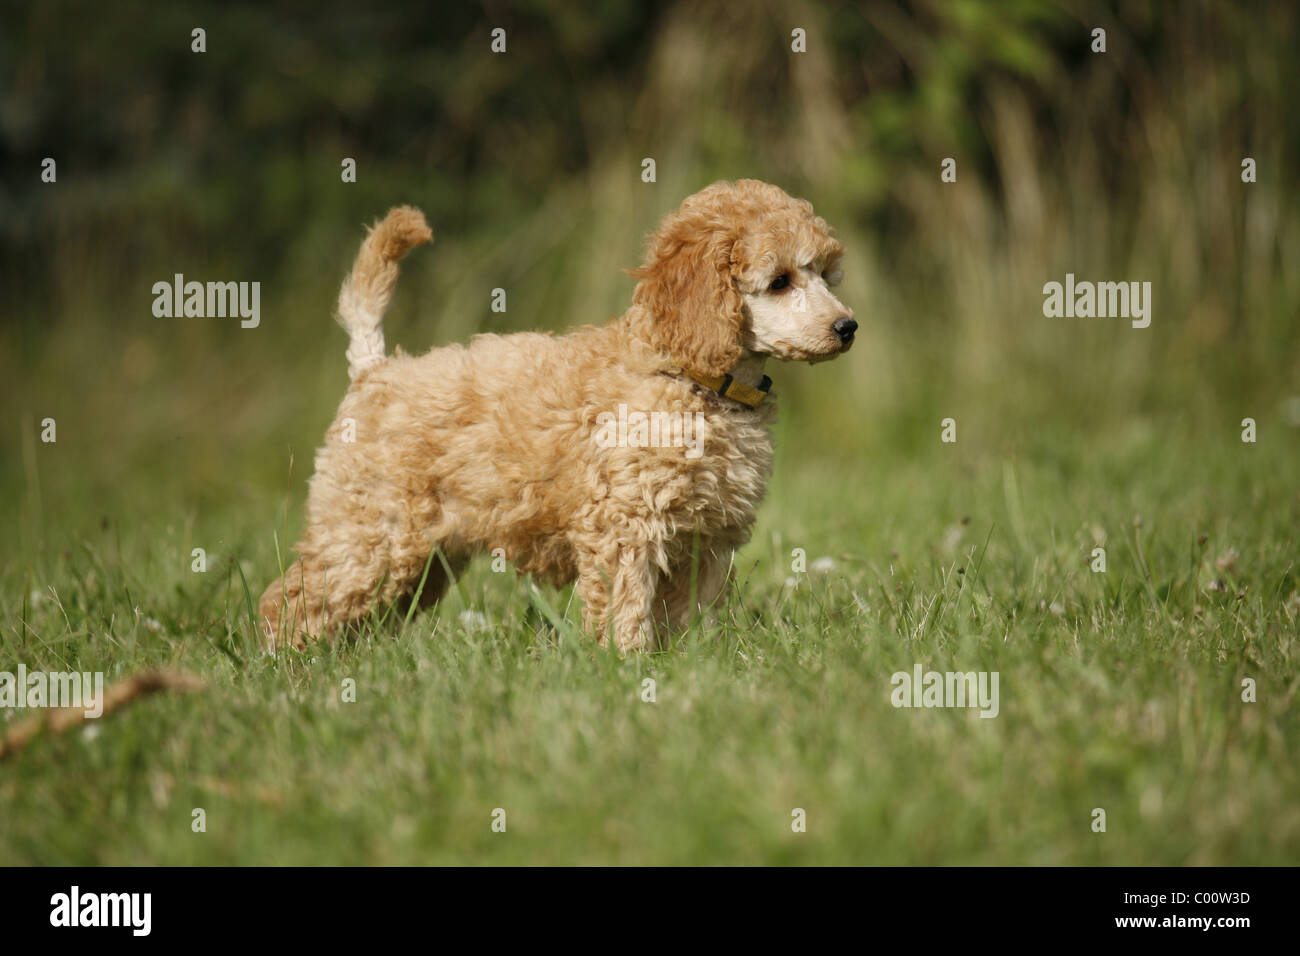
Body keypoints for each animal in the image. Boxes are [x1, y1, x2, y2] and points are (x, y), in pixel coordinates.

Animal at [258, 179, 857, 655]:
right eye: (780, 281)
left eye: (826, 275)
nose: (848, 327)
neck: (692, 379)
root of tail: (376, 370)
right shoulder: (626, 526)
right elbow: (626, 605)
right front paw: (629, 664)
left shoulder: (708, 538)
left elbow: (691, 609)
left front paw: (692, 661)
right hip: (371, 532)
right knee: (293, 600)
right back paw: (288, 666)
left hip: (422, 558)